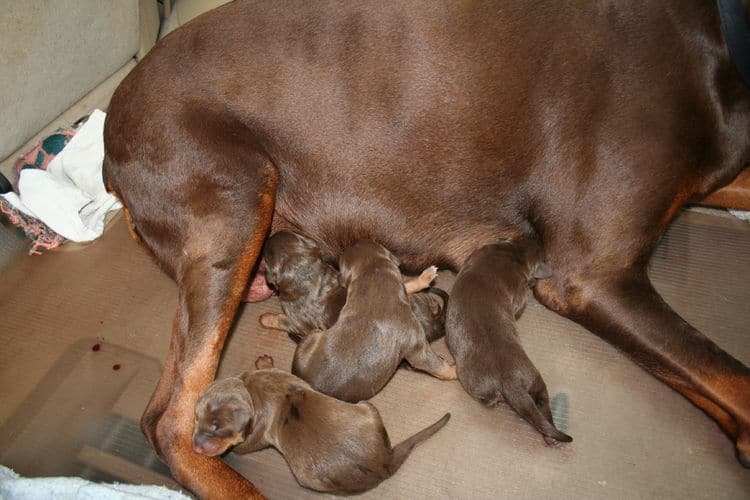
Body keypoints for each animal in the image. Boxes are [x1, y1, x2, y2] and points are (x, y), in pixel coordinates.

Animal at [194, 356, 452, 492]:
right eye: (196, 419)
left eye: (218, 428)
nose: (196, 446)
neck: (253, 392)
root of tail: (385, 462)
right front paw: (264, 361)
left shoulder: (253, 436)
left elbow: (242, 446)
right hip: (368, 408)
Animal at [260, 231, 446, 344]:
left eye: (265, 255)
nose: (267, 238)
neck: (308, 276)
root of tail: (434, 322)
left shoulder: (296, 321)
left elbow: (279, 319)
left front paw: (264, 317)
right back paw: (425, 277)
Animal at [294, 239, 458, 402]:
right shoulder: (417, 346)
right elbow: (440, 368)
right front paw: (457, 370)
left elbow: (405, 284)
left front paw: (424, 277)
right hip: (311, 337)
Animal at [444, 240, 572, 444]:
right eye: (543, 253)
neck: (513, 252)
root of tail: (509, 379)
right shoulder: (519, 290)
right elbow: (520, 303)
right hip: (533, 376)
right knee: (542, 399)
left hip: (481, 381)